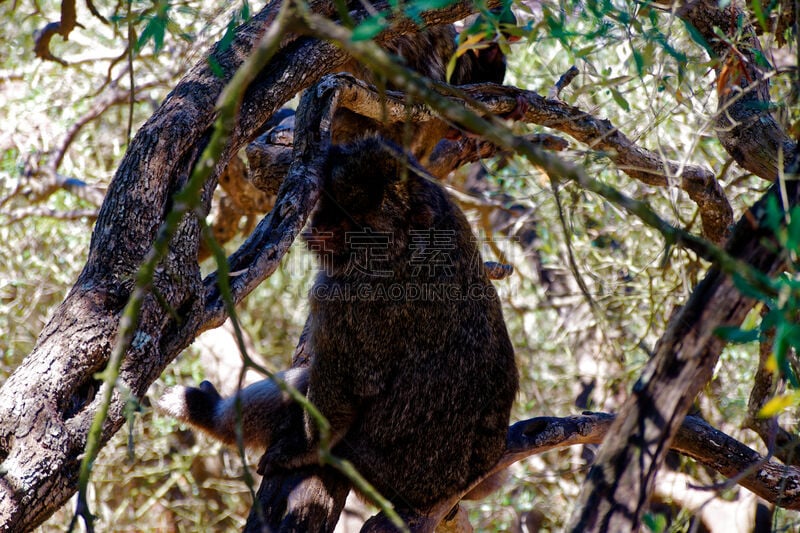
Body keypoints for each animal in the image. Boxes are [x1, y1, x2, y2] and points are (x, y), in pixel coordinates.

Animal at [159, 134, 520, 524]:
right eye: (332, 204)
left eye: (353, 221)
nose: (321, 229)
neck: (409, 239)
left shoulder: (344, 295)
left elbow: (347, 386)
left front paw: (304, 449)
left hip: (372, 471)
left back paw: (210, 417)